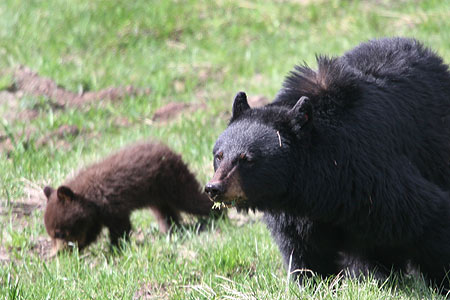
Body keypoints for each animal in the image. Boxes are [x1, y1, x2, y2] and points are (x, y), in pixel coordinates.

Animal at [44, 141, 220, 251]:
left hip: (173, 182)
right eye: (51, 234)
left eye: (60, 233)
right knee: (166, 212)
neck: (92, 200)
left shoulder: (112, 204)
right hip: (157, 194)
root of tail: (171, 151)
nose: (58, 253)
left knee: (192, 199)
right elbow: (90, 233)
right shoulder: (95, 217)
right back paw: (171, 230)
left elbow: (121, 227)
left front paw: (115, 249)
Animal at [205, 37, 450, 288]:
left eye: (247, 159)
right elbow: (301, 247)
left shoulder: (370, 175)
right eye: (219, 155)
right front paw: (309, 281)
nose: (214, 188)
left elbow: (428, 213)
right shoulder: (294, 213)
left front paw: (442, 280)